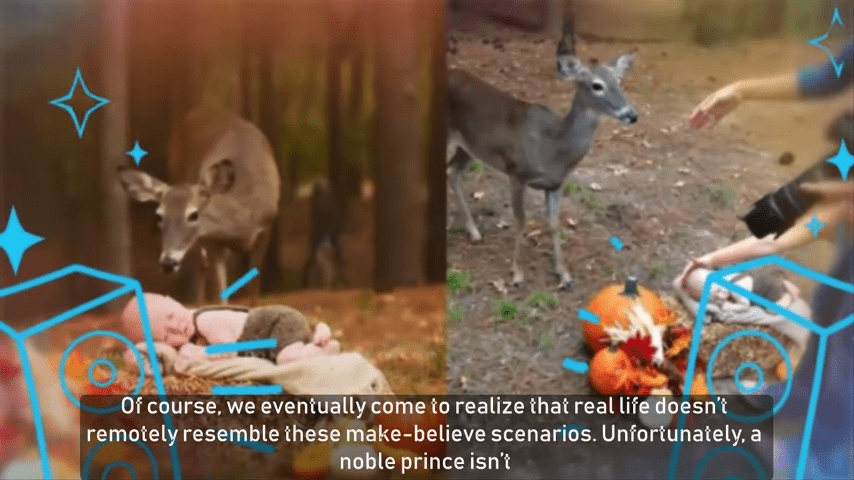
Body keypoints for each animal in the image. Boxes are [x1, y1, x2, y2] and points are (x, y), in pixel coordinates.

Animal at [118, 107, 280, 306]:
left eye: (193, 215)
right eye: (160, 215)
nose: (168, 263)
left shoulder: (266, 230)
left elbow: (254, 290)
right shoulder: (211, 241)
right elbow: (221, 293)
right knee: (200, 266)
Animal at [448, 21, 636, 288]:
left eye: (619, 81)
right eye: (596, 85)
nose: (631, 115)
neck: (553, 149)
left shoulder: (556, 184)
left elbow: (555, 224)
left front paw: (564, 274)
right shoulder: (516, 172)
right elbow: (521, 220)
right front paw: (517, 274)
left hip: (469, 147)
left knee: (451, 171)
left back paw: (474, 232)